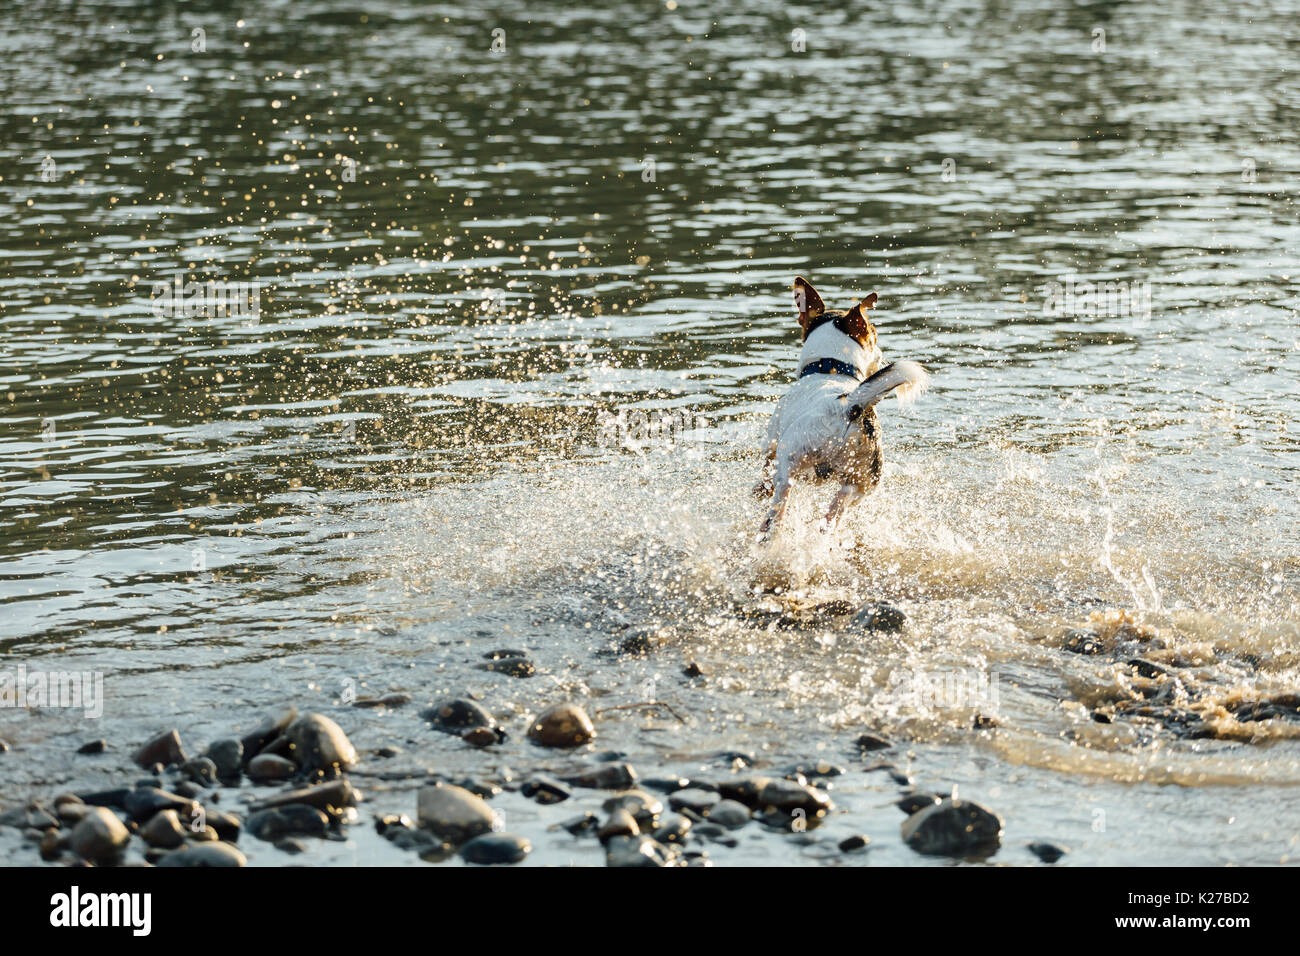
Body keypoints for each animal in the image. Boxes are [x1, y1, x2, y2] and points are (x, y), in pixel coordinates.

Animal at [759, 277, 930, 538]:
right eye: (874, 336)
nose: (880, 353)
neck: (830, 367)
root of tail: (850, 406)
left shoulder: (771, 444)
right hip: (861, 483)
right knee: (838, 506)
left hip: (790, 457)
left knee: (781, 500)